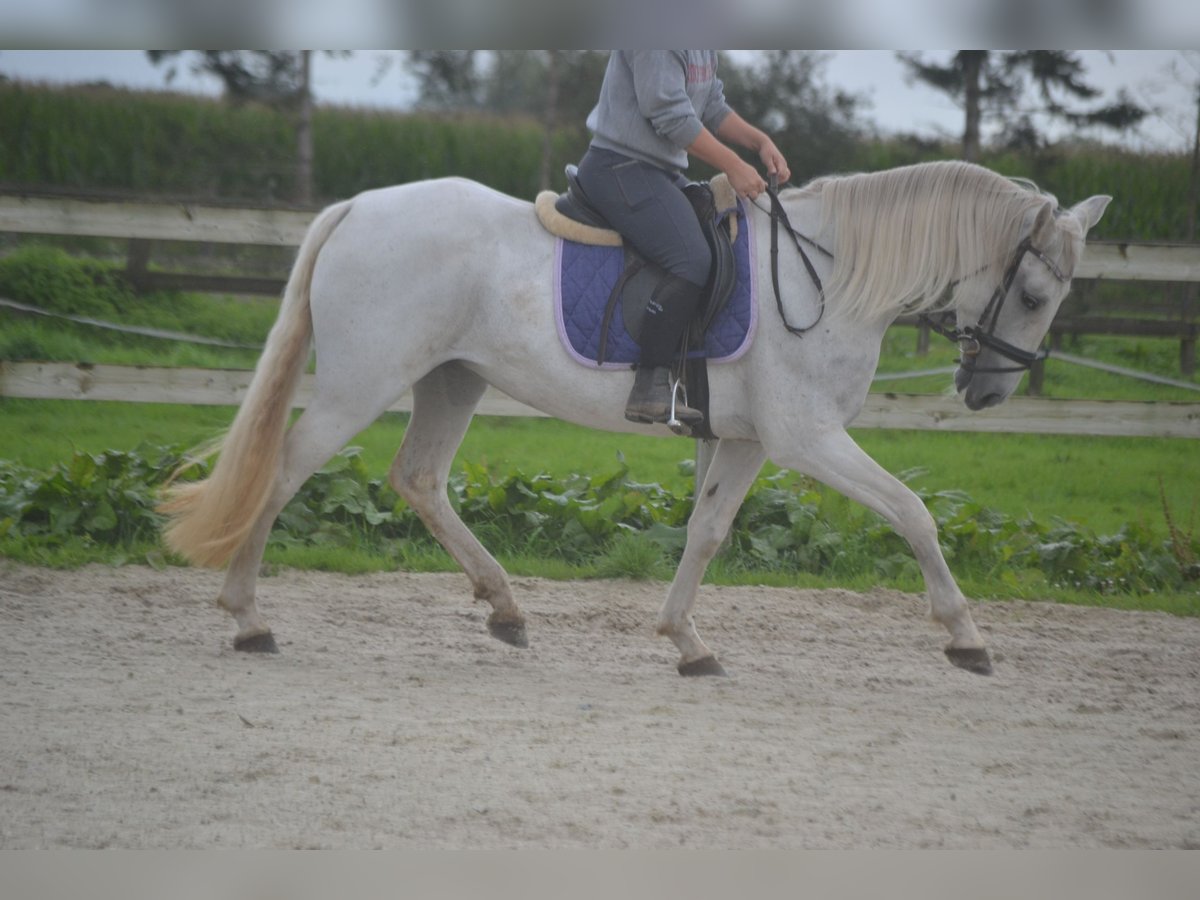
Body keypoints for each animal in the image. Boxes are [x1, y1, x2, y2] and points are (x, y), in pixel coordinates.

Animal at [159, 162, 1104, 681]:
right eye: (1032, 292)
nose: (989, 394)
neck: (828, 278)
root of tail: (358, 207)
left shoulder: (747, 440)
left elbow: (708, 532)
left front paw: (688, 642)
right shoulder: (806, 439)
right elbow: (912, 512)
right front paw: (967, 639)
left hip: (452, 381)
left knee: (419, 479)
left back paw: (505, 608)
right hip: (363, 383)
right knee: (282, 475)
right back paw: (247, 619)